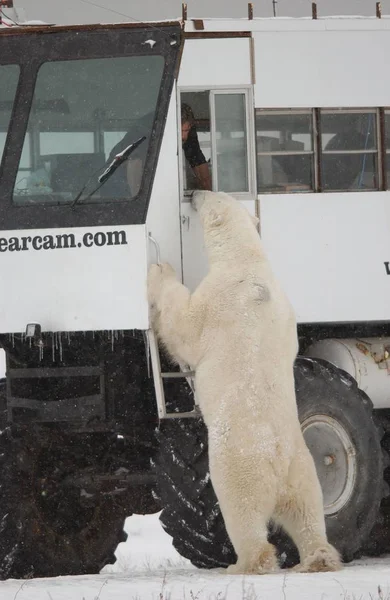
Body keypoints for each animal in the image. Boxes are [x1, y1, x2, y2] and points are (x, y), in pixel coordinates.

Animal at [147, 192, 342, 576]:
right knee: (307, 512)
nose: (195, 193)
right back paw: (318, 558)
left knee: (242, 511)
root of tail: (277, 463)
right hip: (304, 468)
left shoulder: (216, 300)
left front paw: (159, 270)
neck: (248, 261)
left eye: (210, 197)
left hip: (240, 464)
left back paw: (244, 564)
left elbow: (183, 324)